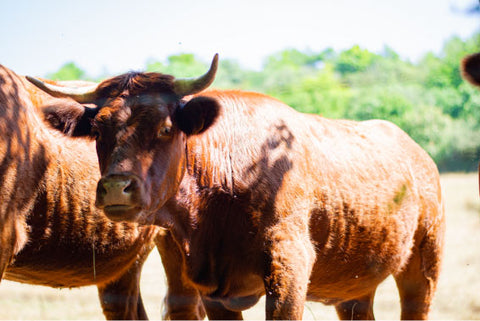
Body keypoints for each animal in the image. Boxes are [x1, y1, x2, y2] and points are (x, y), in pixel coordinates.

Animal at [27, 54, 446, 318]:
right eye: (98, 130)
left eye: (165, 128)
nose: (116, 188)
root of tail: (418, 153)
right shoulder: (213, 289)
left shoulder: (289, 268)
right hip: (355, 289)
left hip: (424, 266)